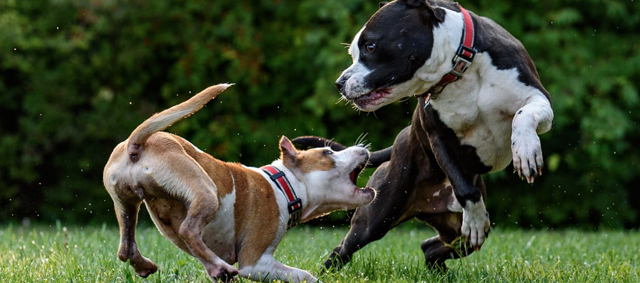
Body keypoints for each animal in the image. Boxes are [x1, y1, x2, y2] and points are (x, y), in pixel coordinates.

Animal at [103, 83, 376, 282]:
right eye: (328, 153)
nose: (364, 148)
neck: (284, 185)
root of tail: (136, 144)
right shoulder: (255, 262)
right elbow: (305, 276)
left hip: (126, 203)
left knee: (126, 247)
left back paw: (150, 265)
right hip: (205, 190)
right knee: (188, 229)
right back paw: (219, 266)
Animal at [292, 0, 552, 270]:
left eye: (370, 47)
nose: (339, 83)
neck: (460, 69)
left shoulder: (538, 98)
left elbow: (523, 113)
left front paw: (526, 151)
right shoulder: (438, 137)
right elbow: (465, 189)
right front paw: (476, 218)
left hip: (455, 233)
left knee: (432, 247)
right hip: (376, 217)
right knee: (344, 247)